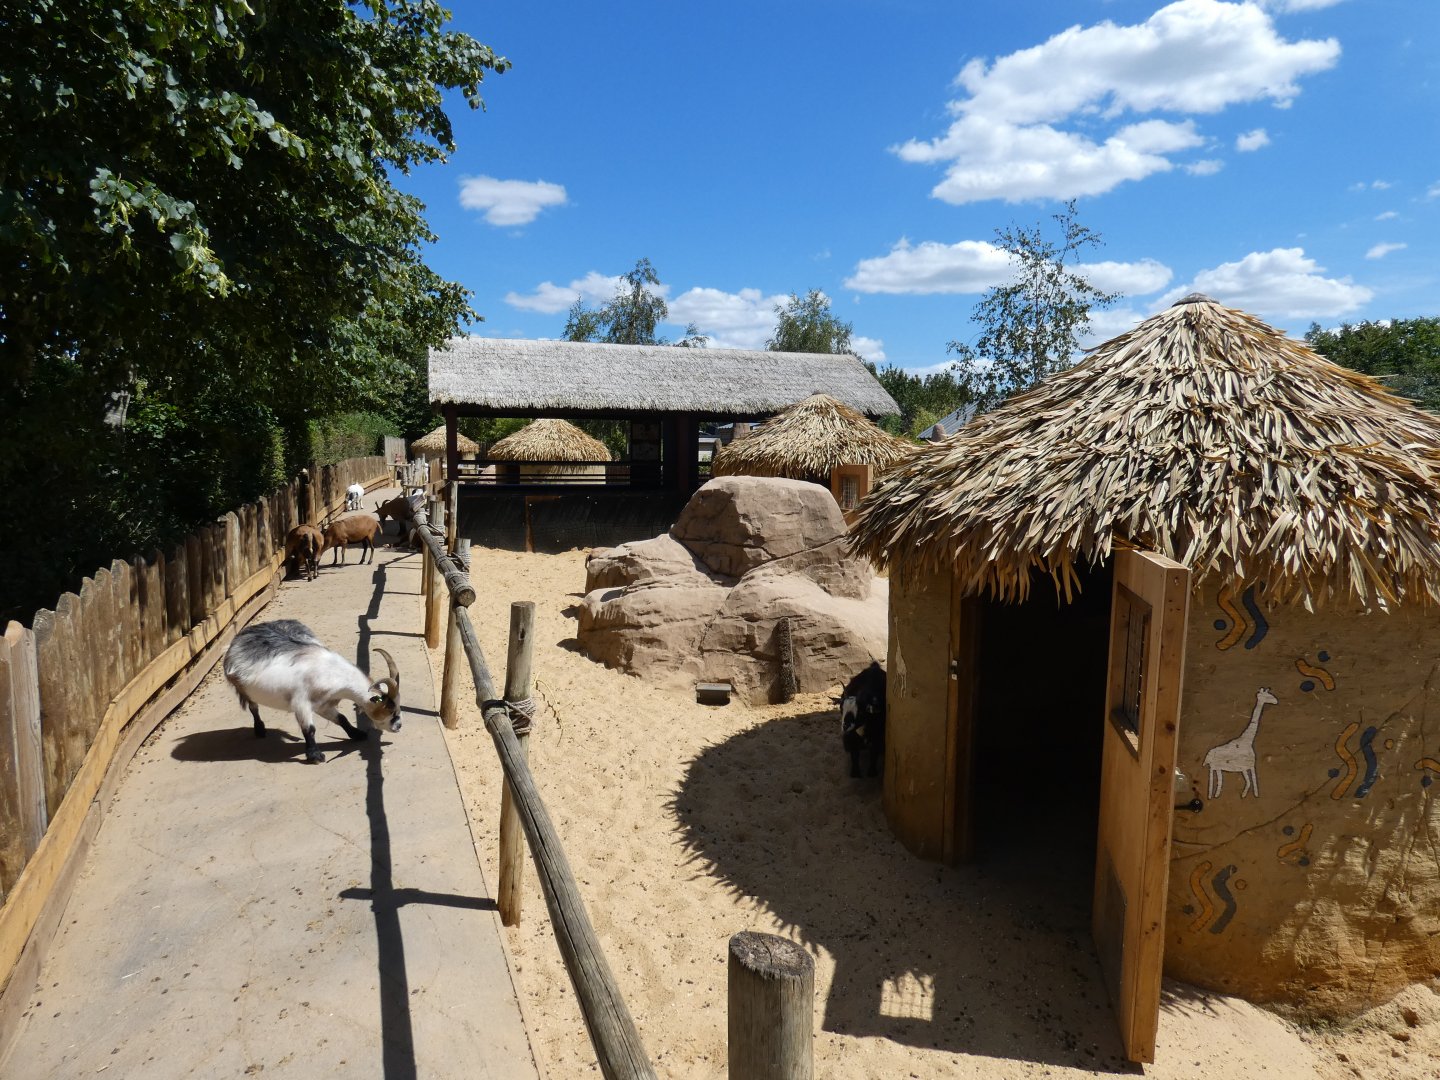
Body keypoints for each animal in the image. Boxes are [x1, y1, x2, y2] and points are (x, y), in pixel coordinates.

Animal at [223, 619, 401, 763]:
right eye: (390, 711)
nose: (398, 726)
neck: (329, 671)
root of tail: (238, 639)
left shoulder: (322, 704)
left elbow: (341, 718)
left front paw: (357, 734)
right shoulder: (301, 703)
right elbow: (309, 729)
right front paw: (314, 756)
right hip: (244, 689)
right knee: (253, 707)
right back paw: (260, 730)